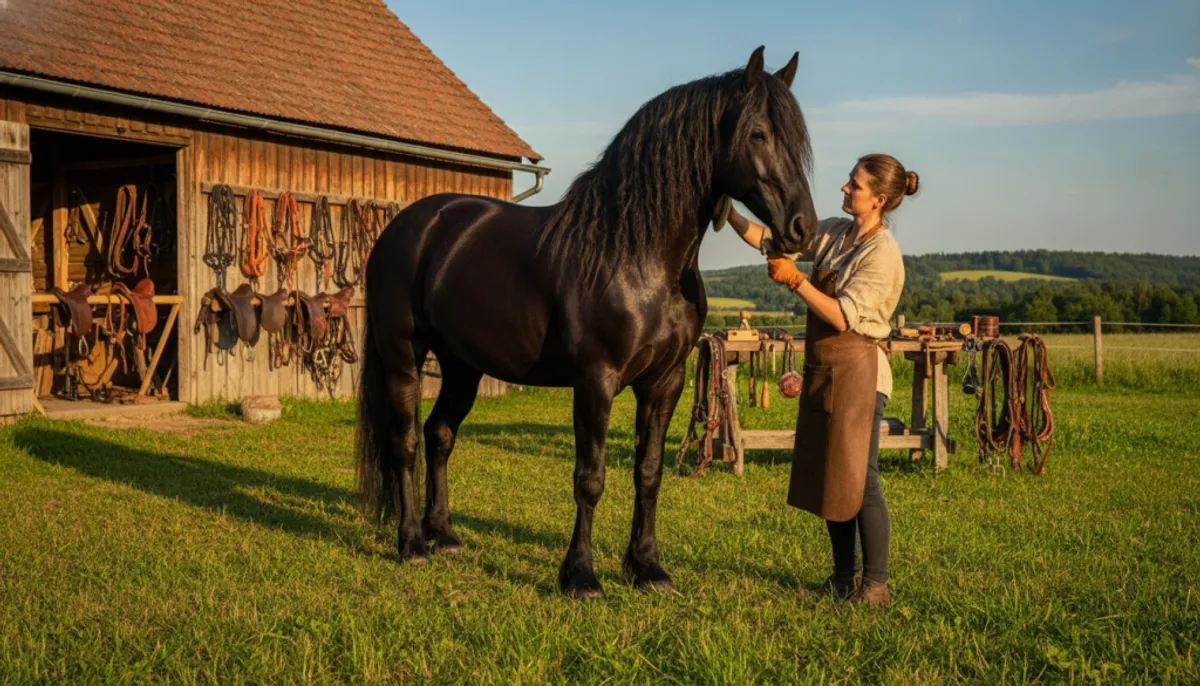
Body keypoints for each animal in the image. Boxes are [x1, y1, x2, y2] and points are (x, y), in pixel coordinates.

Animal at [357, 46, 818, 598]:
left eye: (797, 138)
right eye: (758, 135)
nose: (803, 229)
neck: (636, 254)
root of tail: (405, 228)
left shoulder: (665, 382)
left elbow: (648, 472)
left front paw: (647, 567)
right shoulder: (596, 380)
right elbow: (590, 477)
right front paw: (580, 575)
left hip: (462, 366)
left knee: (439, 434)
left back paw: (444, 534)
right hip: (403, 357)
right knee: (404, 443)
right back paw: (412, 544)